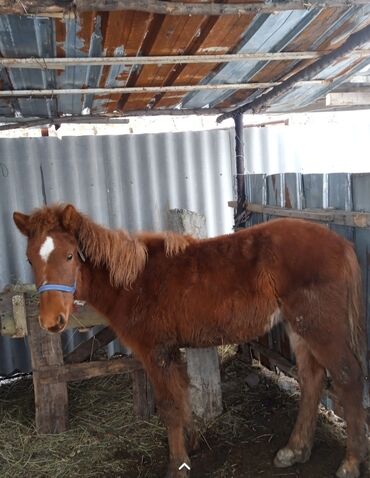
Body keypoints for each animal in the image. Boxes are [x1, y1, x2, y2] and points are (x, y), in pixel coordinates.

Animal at [13, 204, 368, 476]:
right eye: (30, 259)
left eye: (70, 256)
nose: (52, 321)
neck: (134, 282)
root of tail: (341, 244)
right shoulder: (171, 351)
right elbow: (183, 398)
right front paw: (192, 444)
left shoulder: (154, 352)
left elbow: (170, 406)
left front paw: (177, 465)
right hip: (299, 328)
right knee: (311, 379)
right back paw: (294, 450)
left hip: (321, 327)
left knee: (348, 377)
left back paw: (350, 463)